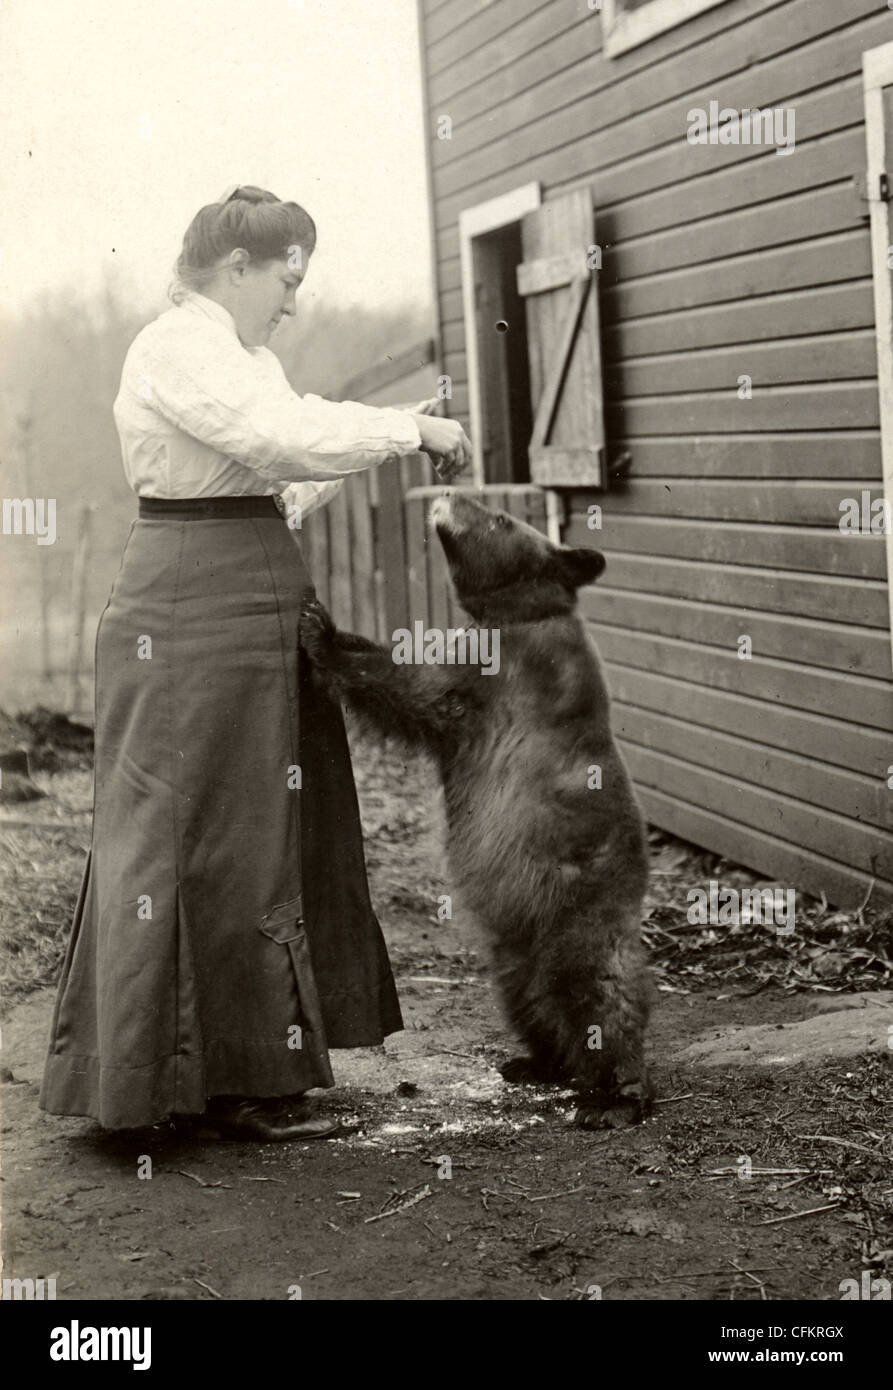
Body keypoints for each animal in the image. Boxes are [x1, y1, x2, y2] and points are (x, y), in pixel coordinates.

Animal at [294, 489, 650, 1128]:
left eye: (500, 518)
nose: (448, 494)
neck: (514, 612)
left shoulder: (497, 675)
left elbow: (414, 688)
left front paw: (322, 628)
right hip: (516, 943)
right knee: (527, 996)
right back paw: (537, 1061)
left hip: (575, 907)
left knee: (598, 990)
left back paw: (615, 1094)